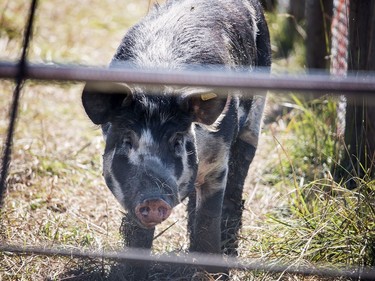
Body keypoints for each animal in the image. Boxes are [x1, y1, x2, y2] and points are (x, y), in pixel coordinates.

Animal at [81, 0, 270, 262]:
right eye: (127, 140)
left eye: (177, 141)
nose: (153, 198)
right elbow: (138, 232)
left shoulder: (217, 162)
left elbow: (208, 219)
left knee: (243, 161)